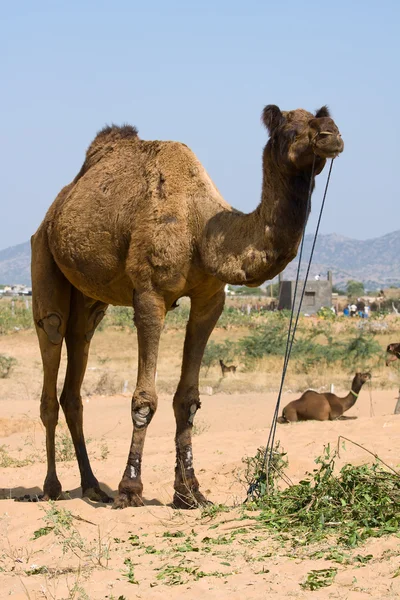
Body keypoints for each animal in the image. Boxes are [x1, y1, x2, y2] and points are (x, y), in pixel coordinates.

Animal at [31, 105, 344, 508]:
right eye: (291, 129)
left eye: (322, 118)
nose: (331, 134)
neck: (201, 229)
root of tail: (54, 211)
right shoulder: (149, 295)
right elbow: (144, 399)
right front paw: (130, 488)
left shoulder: (211, 300)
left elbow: (188, 399)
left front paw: (190, 492)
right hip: (43, 255)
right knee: (52, 340)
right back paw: (53, 487)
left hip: (89, 299)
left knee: (78, 354)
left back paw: (92, 486)